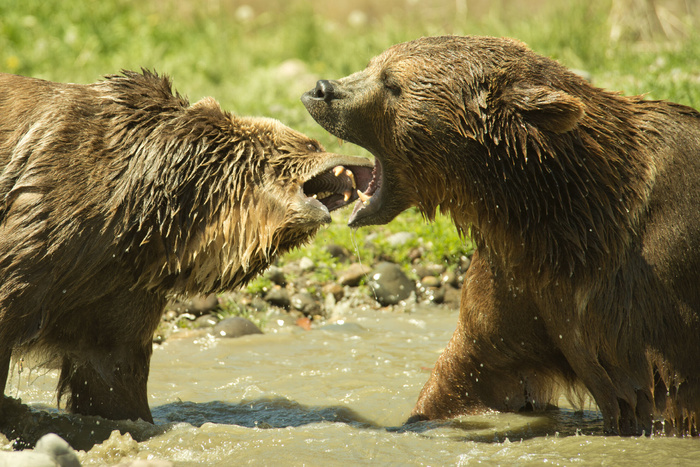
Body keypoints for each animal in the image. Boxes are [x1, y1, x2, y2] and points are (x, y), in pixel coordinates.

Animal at [304, 34, 700, 436]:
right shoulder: (518, 281)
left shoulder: (646, 295)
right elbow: (472, 368)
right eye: (374, 63)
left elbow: (658, 395)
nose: (321, 89)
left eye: (392, 82)